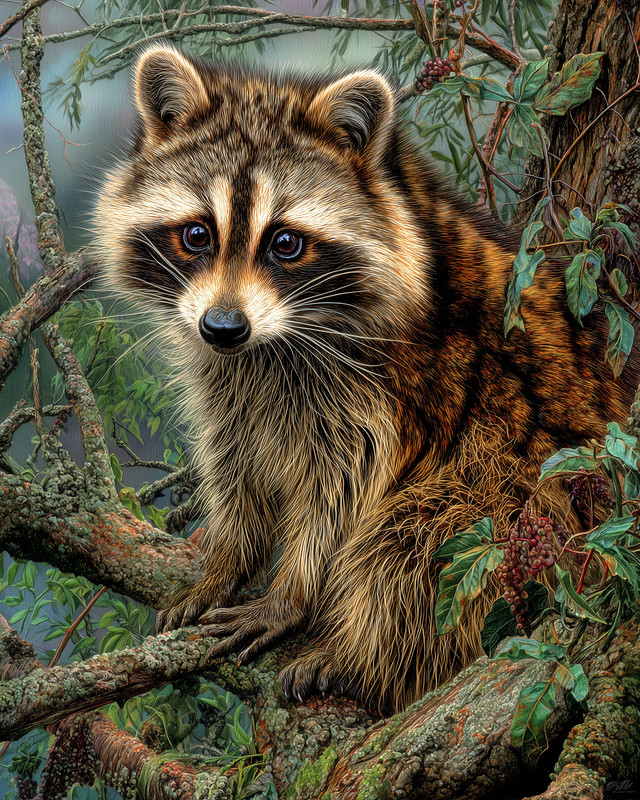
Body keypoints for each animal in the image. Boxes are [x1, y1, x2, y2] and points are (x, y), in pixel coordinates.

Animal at [95, 45, 637, 712]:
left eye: (286, 243)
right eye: (197, 234)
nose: (223, 327)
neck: (276, 339)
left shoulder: (386, 388)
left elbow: (344, 490)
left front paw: (293, 591)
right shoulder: (228, 379)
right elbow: (237, 463)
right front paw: (228, 561)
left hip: (529, 500)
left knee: (414, 546)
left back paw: (358, 658)